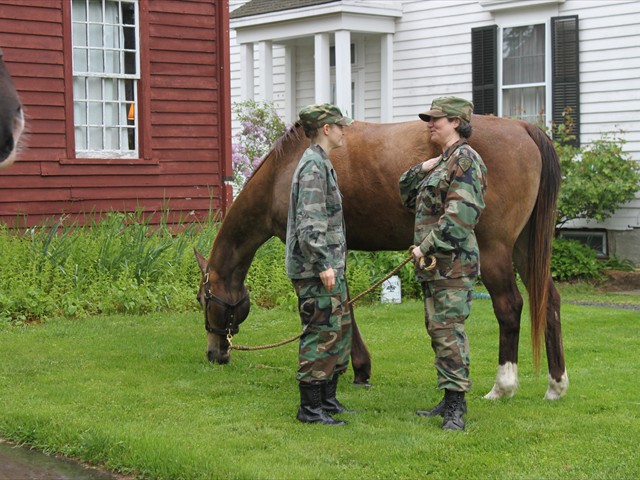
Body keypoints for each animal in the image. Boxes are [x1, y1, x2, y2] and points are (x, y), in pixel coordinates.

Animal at [195, 114, 568, 401]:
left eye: (203, 299)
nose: (214, 354)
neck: (284, 171)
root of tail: (524, 129)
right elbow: (344, 303)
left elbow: (335, 305)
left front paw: (351, 368)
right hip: (524, 248)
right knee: (549, 300)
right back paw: (556, 386)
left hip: (495, 251)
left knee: (510, 307)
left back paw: (502, 388)